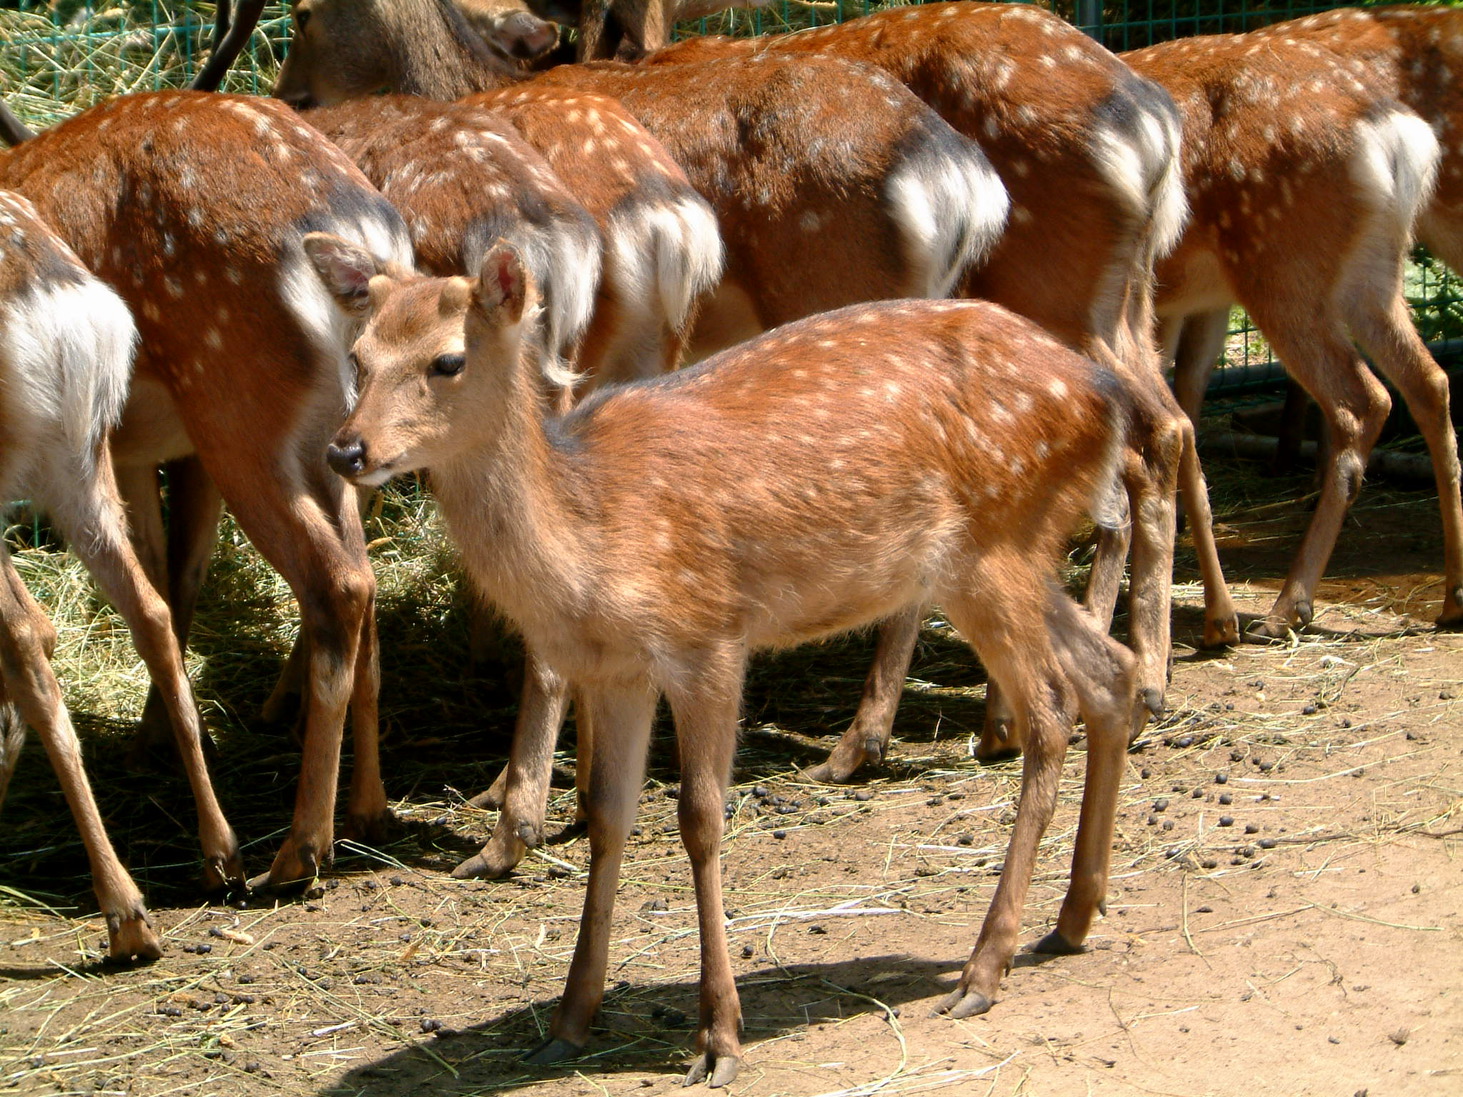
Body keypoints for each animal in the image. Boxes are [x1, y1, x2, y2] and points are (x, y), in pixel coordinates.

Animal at [308, 229, 1152, 1082]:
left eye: (447, 360)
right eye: (358, 355)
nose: (345, 449)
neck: (591, 536)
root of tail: (1104, 395)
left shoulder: (707, 636)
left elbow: (700, 817)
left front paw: (718, 1035)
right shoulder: (615, 669)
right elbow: (608, 819)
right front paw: (570, 1018)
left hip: (992, 548)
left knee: (1050, 714)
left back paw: (984, 966)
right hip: (1011, 555)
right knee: (1111, 673)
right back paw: (1073, 915)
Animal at [1117, 34, 1463, 640]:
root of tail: (1397, 133)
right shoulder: (1184, 305)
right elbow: (1185, 409)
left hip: (1283, 270)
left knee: (1364, 400)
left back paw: (1287, 607)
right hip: (1373, 273)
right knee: (1430, 381)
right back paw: (1453, 598)